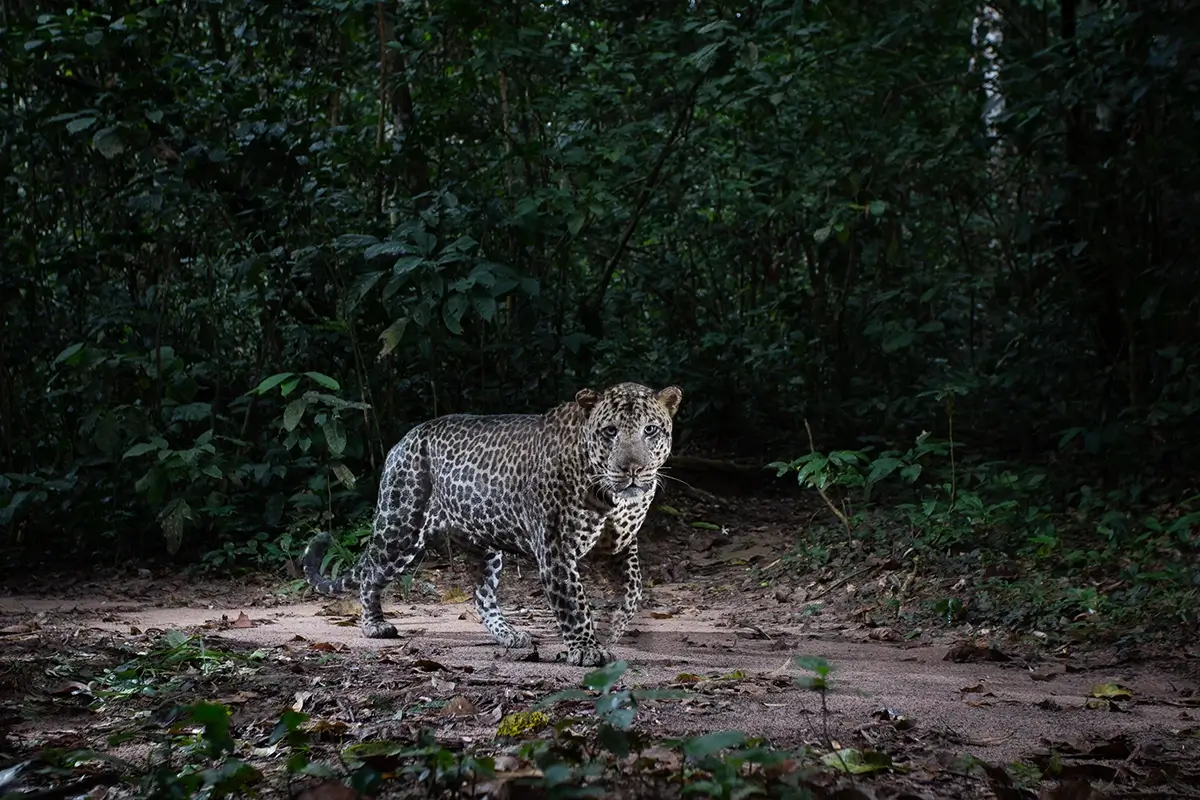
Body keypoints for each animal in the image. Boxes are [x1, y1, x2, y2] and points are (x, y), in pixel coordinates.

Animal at [302, 381, 686, 662]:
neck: (611, 497)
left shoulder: (621, 545)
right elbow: (574, 601)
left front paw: (613, 629)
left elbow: (634, 590)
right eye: (609, 432)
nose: (633, 469)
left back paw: (509, 635)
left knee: (481, 596)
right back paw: (374, 625)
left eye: (651, 430)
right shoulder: (556, 550)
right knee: (370, 572)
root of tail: (404, 440)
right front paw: (586, 650)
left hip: (485, 547)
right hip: (401, 528)